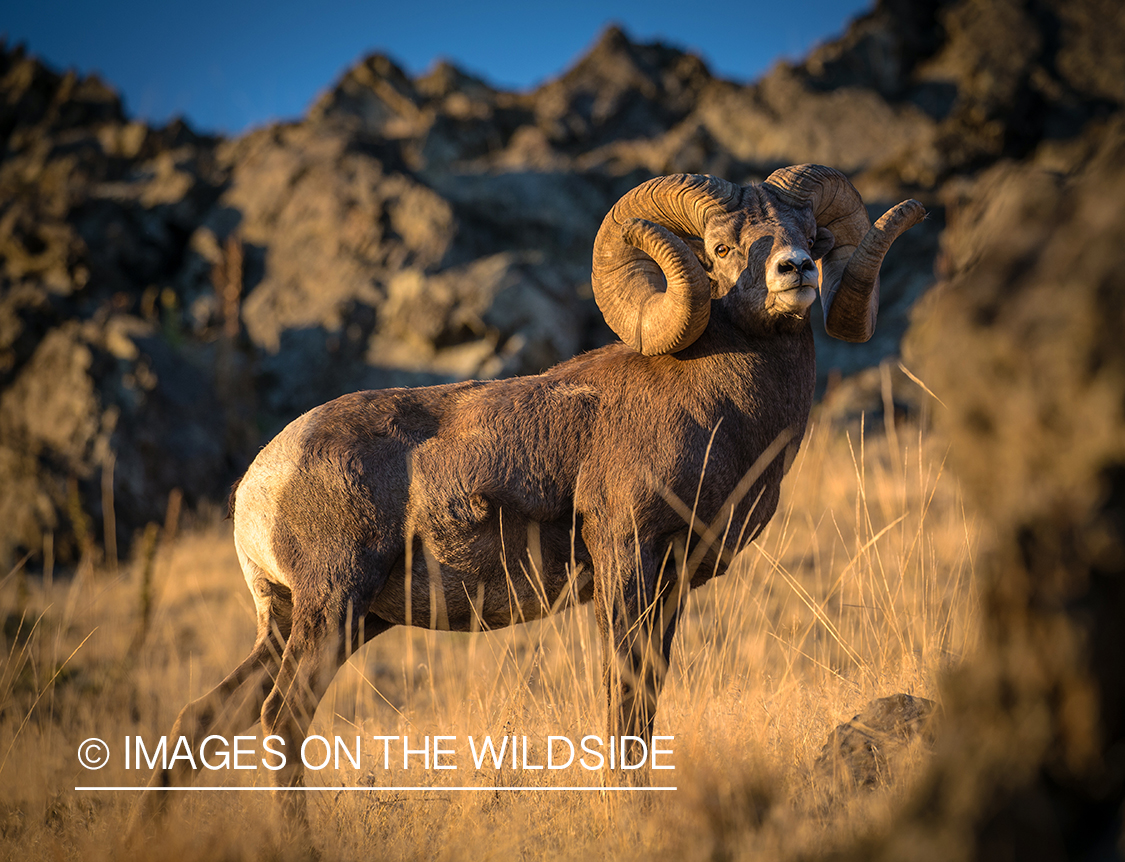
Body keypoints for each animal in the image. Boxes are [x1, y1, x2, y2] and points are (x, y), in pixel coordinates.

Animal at [151, 164, 923, 814]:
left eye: (811, 239)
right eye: (723, 247)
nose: (796, 273)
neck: (720, 404)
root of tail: (258, 485)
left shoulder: (671, 583)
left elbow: (646, 697)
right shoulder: (626, 562)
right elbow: (625, 703)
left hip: (314, 622)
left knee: (203, 718)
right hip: (329, 610)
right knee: (280, 719)